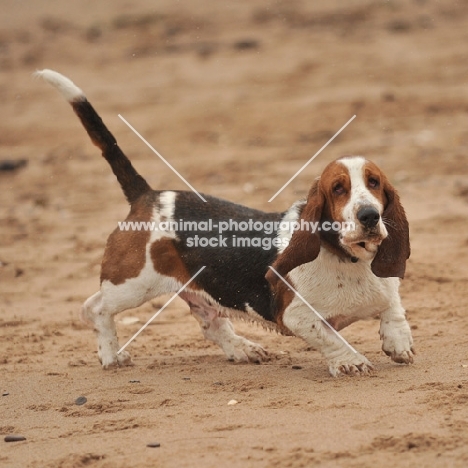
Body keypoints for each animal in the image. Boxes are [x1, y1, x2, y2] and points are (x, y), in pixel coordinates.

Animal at [37, 69, 414, 376]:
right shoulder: (297, 316)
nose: (369, 216)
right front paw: (350, 361)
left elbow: (393, 308)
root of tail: (148, 195)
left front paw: (398, 343)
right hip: (131, 285)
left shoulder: (387, 290)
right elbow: (330, 338)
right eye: (338, 188)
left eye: (374, 183)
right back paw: (111, 356)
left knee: (211, 324)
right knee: (94, 308)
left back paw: (243, 349)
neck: (349, 259)